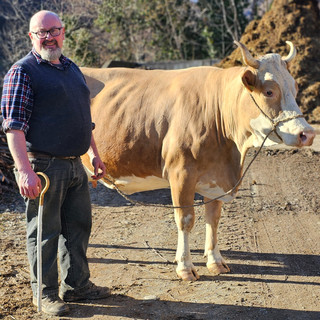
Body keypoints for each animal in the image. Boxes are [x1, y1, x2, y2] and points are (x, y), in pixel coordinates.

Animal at [80, 42, 316, 280]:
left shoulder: (215, 179)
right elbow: (185, 219)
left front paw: (215, 261)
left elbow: (213, 218)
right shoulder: (181, 173)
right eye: (269, 91)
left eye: (295, 88)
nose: (308, 134)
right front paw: (185, 266)